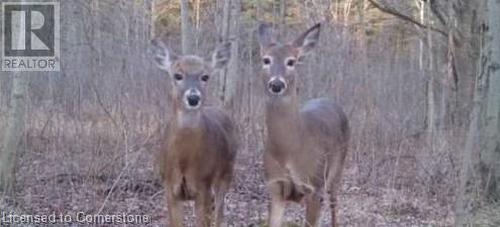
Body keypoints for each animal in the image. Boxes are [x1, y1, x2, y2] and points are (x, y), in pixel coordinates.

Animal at [151, 40, 237, 227]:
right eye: (177, 75)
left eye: (205, 76)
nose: (193, 98)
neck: (184, 158)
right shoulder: (170, 187)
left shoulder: (203, 185)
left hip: (226, 172)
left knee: (219, 212)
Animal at [256, 23, 350, 227]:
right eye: (266, 60)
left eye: (291, 61)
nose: (276, 84)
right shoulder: (275, 187)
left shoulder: (314, 186)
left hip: (337, 169)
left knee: (334, 206)